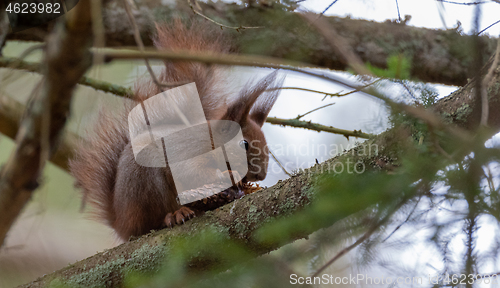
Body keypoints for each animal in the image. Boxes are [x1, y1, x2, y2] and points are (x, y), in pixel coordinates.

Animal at [68, 20, 284, 241]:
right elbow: (192, 171)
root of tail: (121, 224)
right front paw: (227, 175)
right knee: (153, 220)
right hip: (146, 183)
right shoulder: (188, 152)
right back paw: (174, 214)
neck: (211, 142)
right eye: (244, 143)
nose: (260, 176)